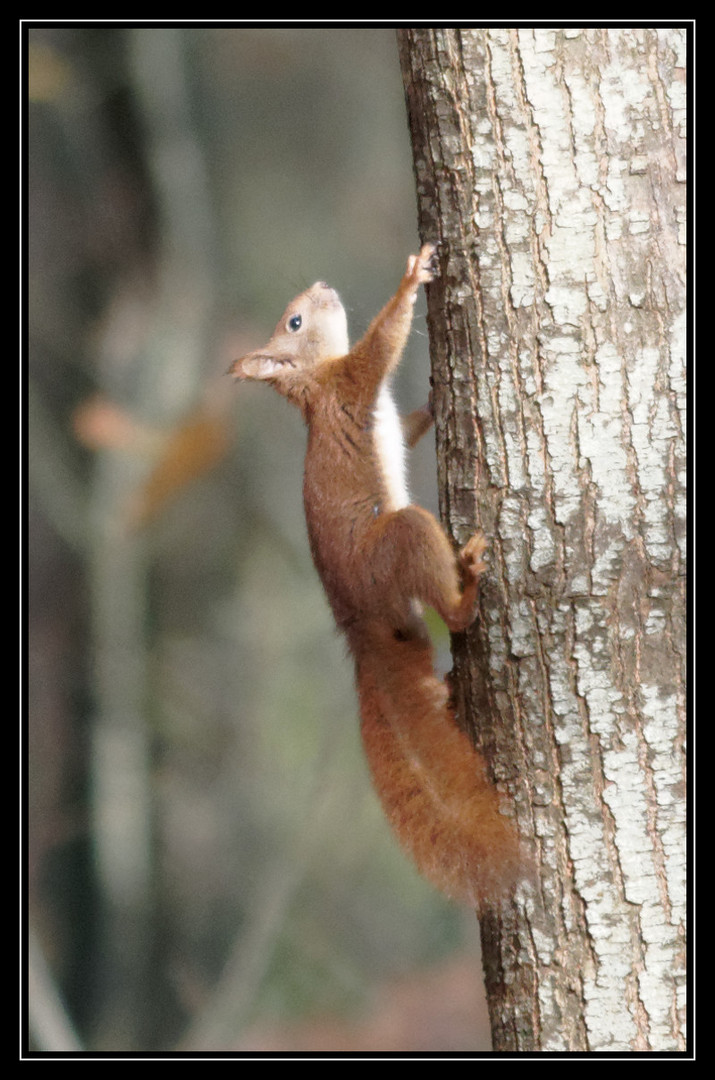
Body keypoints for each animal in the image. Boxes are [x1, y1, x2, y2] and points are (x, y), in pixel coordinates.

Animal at [234, 245, 520, 902]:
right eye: (294, 321)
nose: (321, 284)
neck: (315, 381)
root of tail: (357, 625)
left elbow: (409, 426)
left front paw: (438, 398)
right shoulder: (356, 379)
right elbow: (385, 340)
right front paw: (411, 278)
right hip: (397, 543)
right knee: (445, 599)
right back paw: (468, 588)